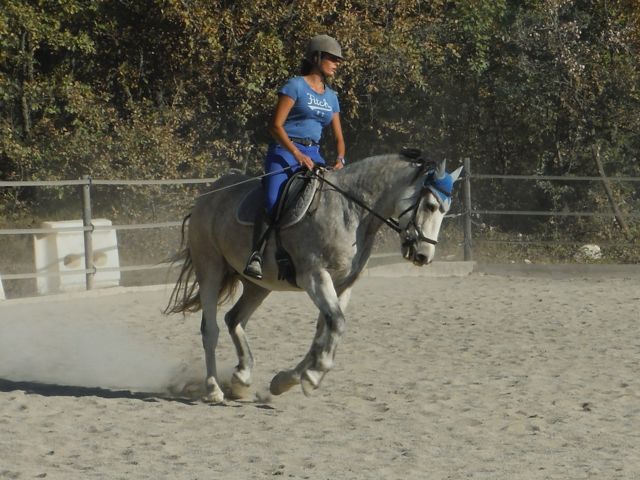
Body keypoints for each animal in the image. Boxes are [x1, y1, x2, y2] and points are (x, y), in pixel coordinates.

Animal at [165, 152, 462, 403]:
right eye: (431, 206)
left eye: (445, 209)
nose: (424, 255)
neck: (350, 211)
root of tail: (208, 194)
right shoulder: (315, 277)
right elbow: (336, 325)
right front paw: (312, 376)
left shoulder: (343, 286)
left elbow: (324, 332)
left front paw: (286, 381)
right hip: (210, 269)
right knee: (211, 329)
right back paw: (214, 389)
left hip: (259, 285)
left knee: (234, 319)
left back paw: (241, 378)